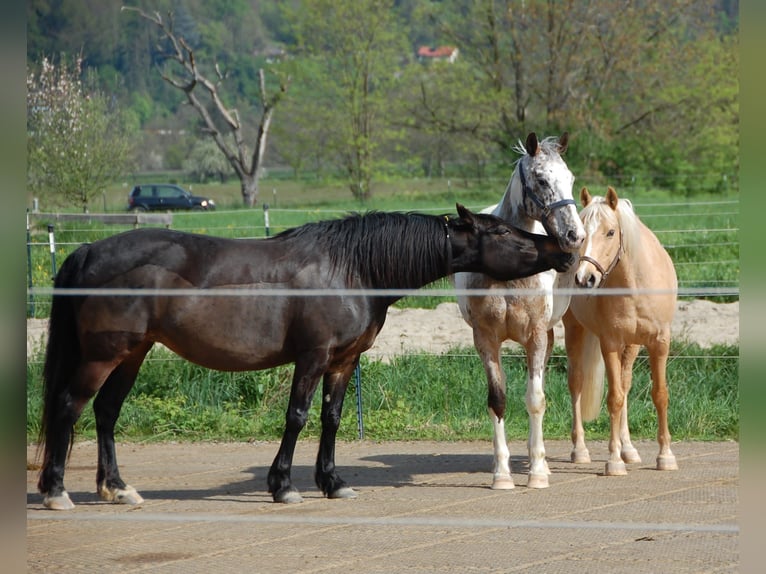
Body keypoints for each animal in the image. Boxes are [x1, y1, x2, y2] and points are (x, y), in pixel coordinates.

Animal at [37, 205, 576, 510]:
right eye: (502, 233)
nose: (563, 249)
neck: (353, 268)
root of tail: (86, 251)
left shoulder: (342, 362)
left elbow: (331, 418)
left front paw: (332, 482)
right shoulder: (313, 357)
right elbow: (296, 416)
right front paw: (282, 485)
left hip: (132, 354)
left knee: (105, 414)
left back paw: (117, 488)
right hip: (102, 357)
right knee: (68, 408)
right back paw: (56, 491)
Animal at [456, 134, 588, 490]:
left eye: (571, 178)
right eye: (541, 180)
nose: (575, 236)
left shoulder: (535, 337)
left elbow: (535, 400)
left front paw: (538, 472)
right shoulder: (485, 340)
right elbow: (497, 401)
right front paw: (502, 474)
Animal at [560, 188, 680, 476]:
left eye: (611, 232)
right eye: (583, 232)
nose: (584, 279)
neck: (636, 283)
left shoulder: (659, 342)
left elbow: (659, 395)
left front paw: (665, 456)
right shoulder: (610, 343)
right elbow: (613, 398)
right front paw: (613, 461)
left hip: (632, 346)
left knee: (625, 384)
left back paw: (629, 450)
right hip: (574, 331)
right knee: (576, 382)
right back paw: (580, 450)